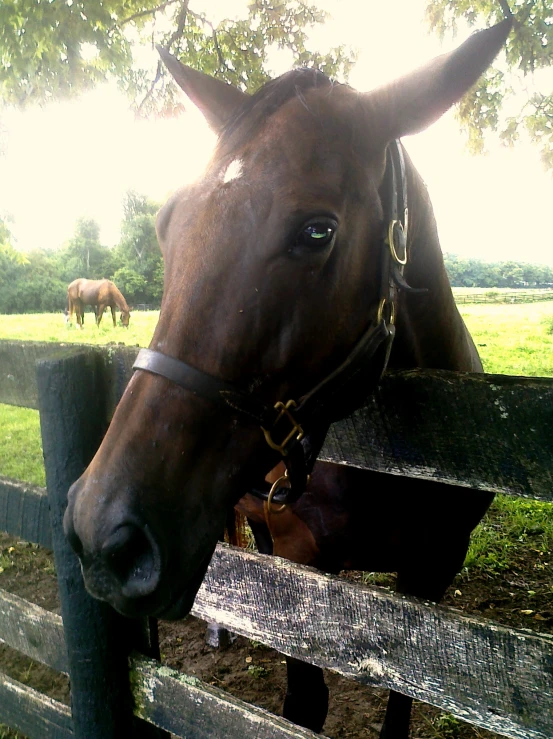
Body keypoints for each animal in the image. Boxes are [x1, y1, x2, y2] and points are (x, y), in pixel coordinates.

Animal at [64, 23, 512, 739]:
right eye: (167, 225)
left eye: (318, 231)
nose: (102, 534)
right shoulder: (301, 566)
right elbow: (304, 704)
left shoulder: (433, 578)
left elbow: (400, 708)